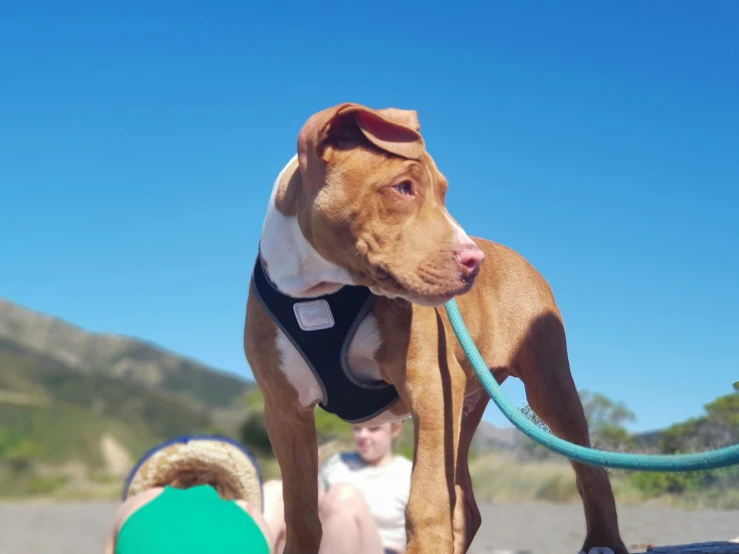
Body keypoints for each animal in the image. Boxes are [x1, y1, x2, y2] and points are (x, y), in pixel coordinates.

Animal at [246, 103, 628, 552]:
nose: (474, 262)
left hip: (547, 388)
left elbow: (426, 504)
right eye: (403, 187)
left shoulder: (429, 386)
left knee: (592, 468)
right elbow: (303, 511)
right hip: (464, 407)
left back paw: (603, 540)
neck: (319, 293)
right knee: (466, 503)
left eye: (442, 192)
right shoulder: (285, 412)